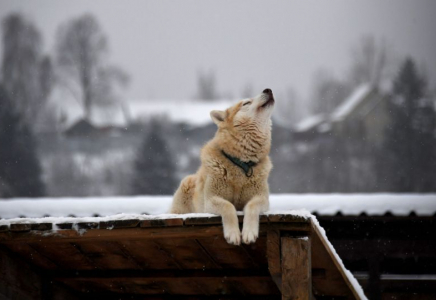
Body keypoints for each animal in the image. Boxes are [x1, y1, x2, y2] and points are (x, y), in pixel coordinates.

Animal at [169, 88, 274, 245]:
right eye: (246, 103)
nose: (268, 90)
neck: (241, 164)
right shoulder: (211, 199)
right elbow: (228, 206)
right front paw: (233, 234)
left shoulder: (261, 198)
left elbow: (251, 206)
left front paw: (249, 232)